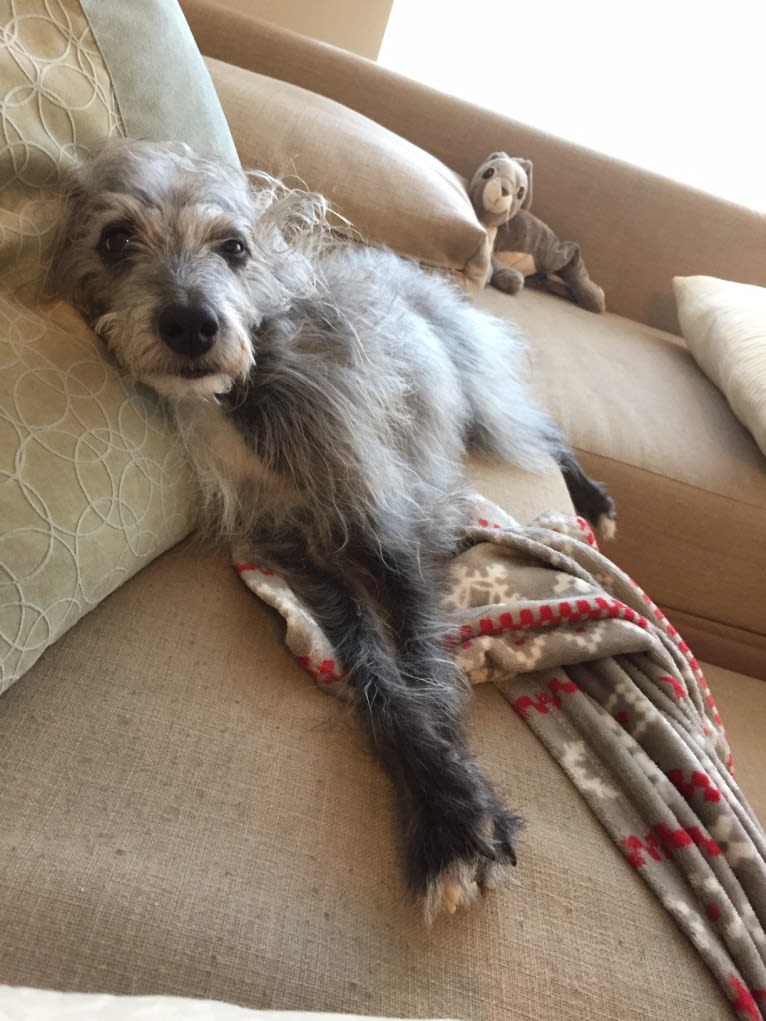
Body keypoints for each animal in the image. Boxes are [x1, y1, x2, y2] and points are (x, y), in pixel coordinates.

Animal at [51, 137, 616, 927]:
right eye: (115, 239)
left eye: (234, 247)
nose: (192, 324)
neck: (241, 401)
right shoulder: (301, 557)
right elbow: (376, 672)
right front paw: (446, 806)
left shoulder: (388, 535)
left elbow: (424, 667)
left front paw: (454, 794)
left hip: (482, 395)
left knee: (545, 432)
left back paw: (592, 497)